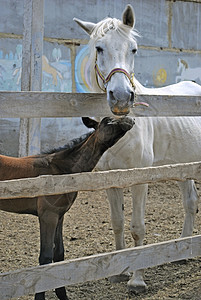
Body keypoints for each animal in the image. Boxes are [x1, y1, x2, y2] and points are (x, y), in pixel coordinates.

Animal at [73, 3, 201, 292]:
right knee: (190, 201)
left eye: (133, 49)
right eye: (99, 48)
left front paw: (137, 280)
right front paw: (118, 272)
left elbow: (137, 227)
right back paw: (182, 251)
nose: (121, 97)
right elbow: (118, 223)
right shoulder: (111, 179)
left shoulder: (140, 179)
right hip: (182, 168)